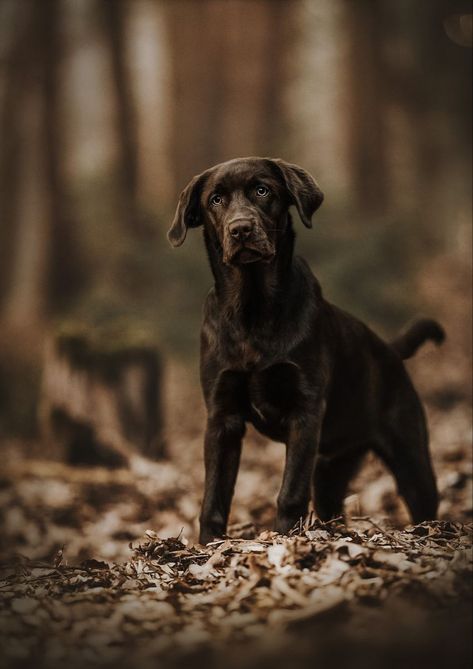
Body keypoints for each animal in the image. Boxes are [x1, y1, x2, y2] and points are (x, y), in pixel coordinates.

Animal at [166, 159, 442, 544]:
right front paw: (208, 545)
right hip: (331, 466)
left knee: (423, 498)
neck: (253, 309)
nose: (241, 229)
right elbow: (214, 497)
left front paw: (286, 540)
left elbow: (291, 493)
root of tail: (388, 349)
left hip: (409, 453)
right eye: (216, 199)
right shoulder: (222, 416)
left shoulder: (305, 411)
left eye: (262, 190)